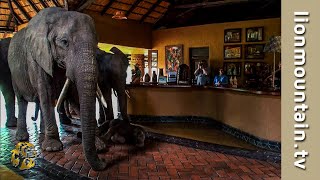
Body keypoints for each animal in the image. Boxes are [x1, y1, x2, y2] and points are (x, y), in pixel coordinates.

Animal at [7, 7, 106, 170]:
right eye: (64, 42)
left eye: (96, 44)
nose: (103, 162)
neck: (58, 14)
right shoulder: (37, 57)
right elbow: (46, 92)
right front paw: (52, 148)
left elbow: (75, 95)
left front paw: (99, 145)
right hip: (14, 73)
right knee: (22, 100)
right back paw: (22, 137)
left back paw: (42, 134)